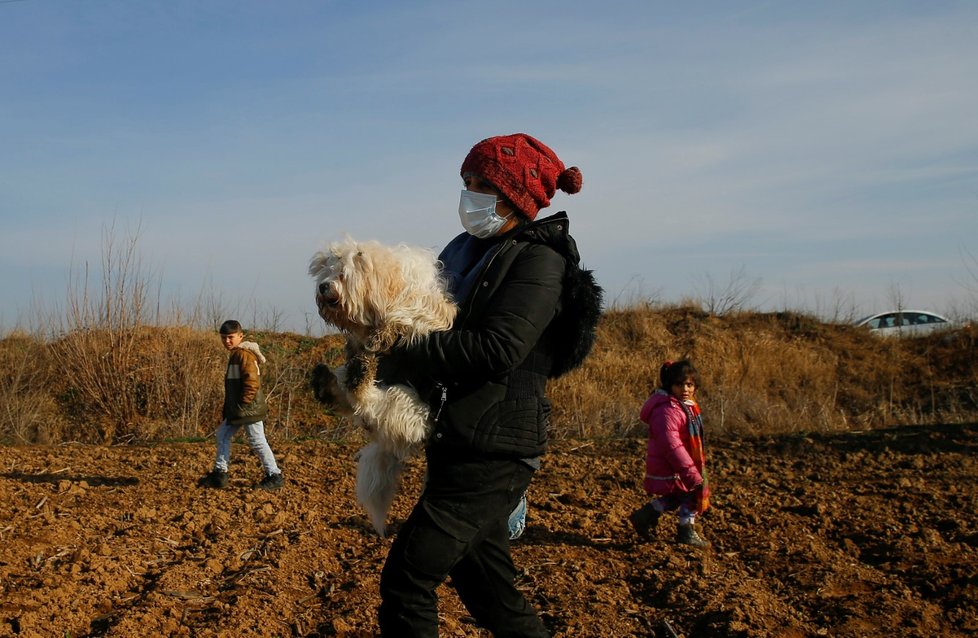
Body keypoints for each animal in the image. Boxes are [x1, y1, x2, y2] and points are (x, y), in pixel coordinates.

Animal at [306, 238, 456, 536]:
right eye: (326, 272)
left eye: (342, 274)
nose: (323, 287)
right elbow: (361, 343)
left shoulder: (421, 309)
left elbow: (404, 321)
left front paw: (385, 333)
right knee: (349, 394)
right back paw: (328, 381)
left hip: (409, 405)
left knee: (368, 400)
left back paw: (357, 377)